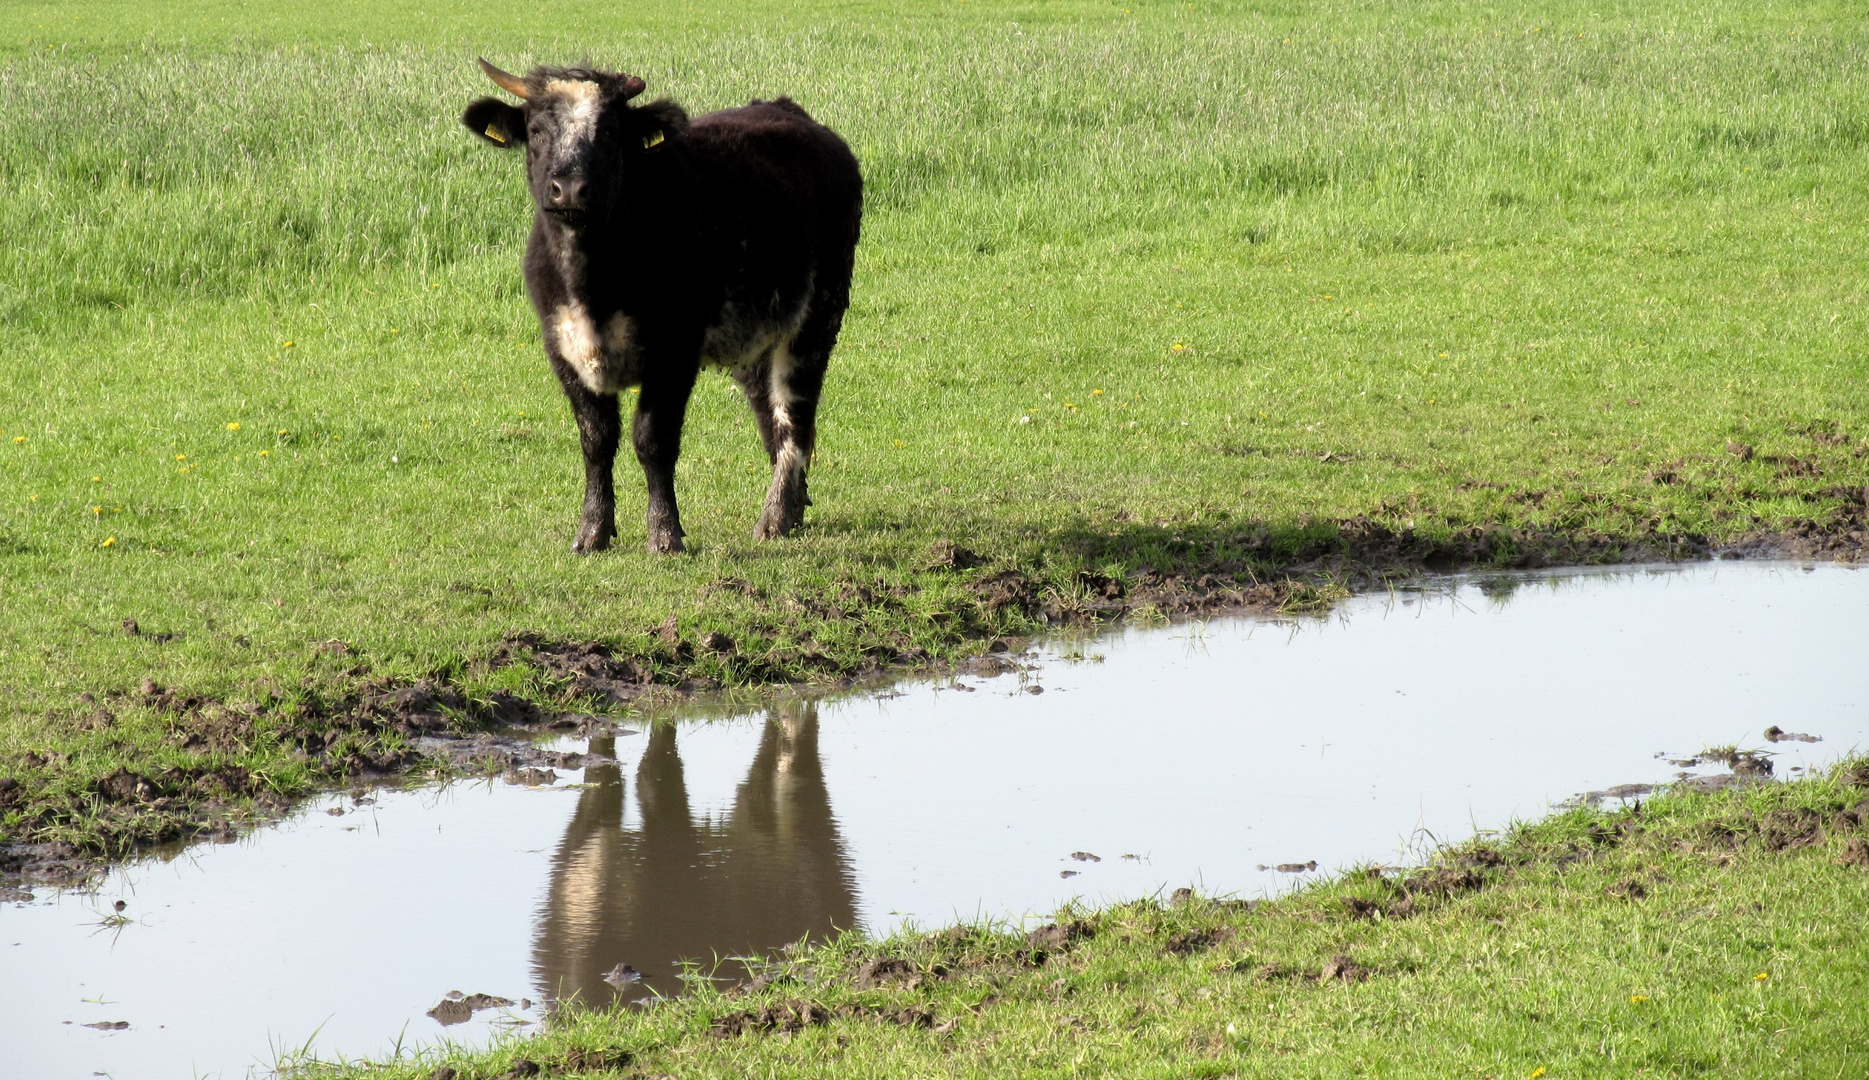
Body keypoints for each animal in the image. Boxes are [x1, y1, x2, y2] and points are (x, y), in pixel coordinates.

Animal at [463, 58, 856, 549]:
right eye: (535, 130)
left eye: (610, 133)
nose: (569, 189)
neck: (592, 282)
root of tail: (794, 114)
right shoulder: (562, 348)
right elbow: (596, 440)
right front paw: (592, 532)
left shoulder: (675, 351)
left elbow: (653, 440)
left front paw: (665, 535)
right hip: (756, 335)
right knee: (769, 413)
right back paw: (795, 507)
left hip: (816, 320)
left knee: (794, 418)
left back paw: (776, 517)